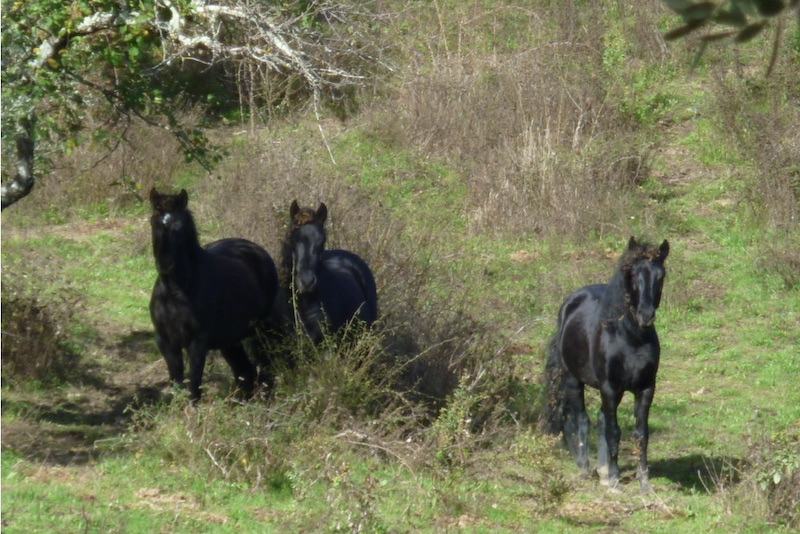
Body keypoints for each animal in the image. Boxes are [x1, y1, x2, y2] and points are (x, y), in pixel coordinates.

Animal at [148, 188, 280, 402]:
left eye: (179, 227)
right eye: (154, 221)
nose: (165, 264)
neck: (175, 292)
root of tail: (256, 250)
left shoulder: (198, 343)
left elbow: (193, 385)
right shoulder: (166, 341)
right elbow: (177, 382)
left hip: (260, 331)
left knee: (263, 368)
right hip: (230, 340)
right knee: (245, 372)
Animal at [544, 237, 668, 496]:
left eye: (660, 276)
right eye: (634, 275)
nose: (646, 315)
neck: (630, 338)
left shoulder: (645, 389)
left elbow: (641, 434)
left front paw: (644, 483)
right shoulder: (610, 388)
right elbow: (614, 432)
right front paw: (614, 481)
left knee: (600, 418)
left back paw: (601, 470)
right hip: (573, 380)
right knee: (583, 419)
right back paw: (586, 469)